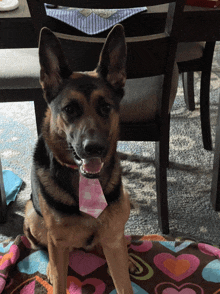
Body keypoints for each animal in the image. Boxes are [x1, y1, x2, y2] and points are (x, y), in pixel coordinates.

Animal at [23, 24, 135, 294]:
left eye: (105, 107)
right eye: (70, 110)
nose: (93, 148)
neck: (86, 184)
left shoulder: (112, 239)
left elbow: (123, 283)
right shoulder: (58, 241)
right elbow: (59, 278)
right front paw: (54, 271)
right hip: (32, 214)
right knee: (48, 249)